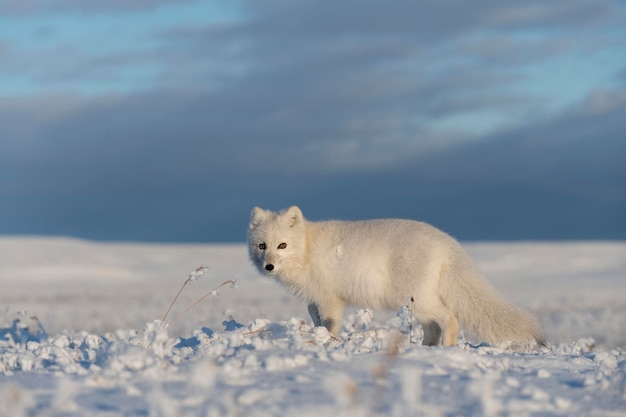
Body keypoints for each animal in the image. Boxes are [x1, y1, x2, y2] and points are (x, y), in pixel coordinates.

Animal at [246, 204, 544, 344]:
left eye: (282, 245)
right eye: (262, 246)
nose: (269, 266)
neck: (307, 249)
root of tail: (448, 242)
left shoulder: (331, 299)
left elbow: (330, 324)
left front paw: (328, 341)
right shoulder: (314, 299)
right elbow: (314, 317)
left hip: (417, 298)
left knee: (449, 319)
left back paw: (444, 349)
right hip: (414, 303)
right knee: (433, 327)